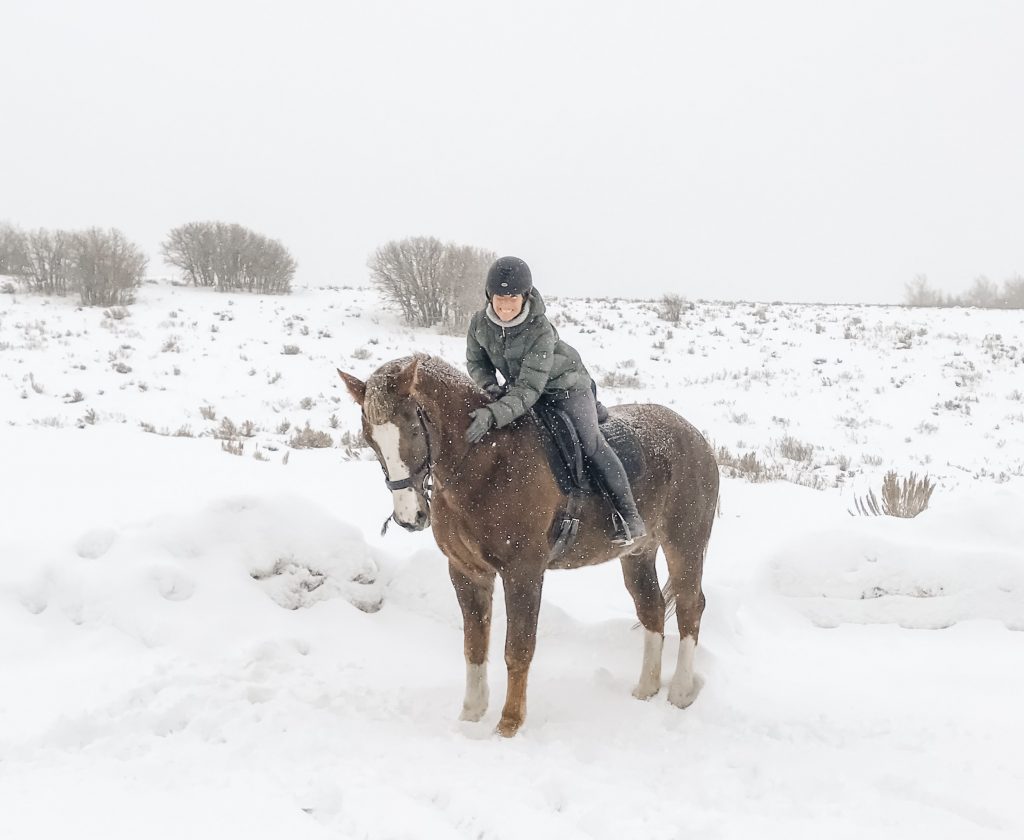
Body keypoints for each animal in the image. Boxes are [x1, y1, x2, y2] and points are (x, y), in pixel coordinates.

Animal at [337, 354, 720, 733]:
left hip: (684, 546)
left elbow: (517, 648)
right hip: (638, 553)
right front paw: (471, 715)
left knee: (690, 607)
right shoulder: (466, 572)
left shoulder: (523, 573)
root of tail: (698, 439)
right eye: (370, 438)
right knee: (652, 607)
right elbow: (474, 645)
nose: (409, 516)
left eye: (414, 429)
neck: (486, 462)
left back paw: (680, 691)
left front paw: (508, 723)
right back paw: (646, 688)